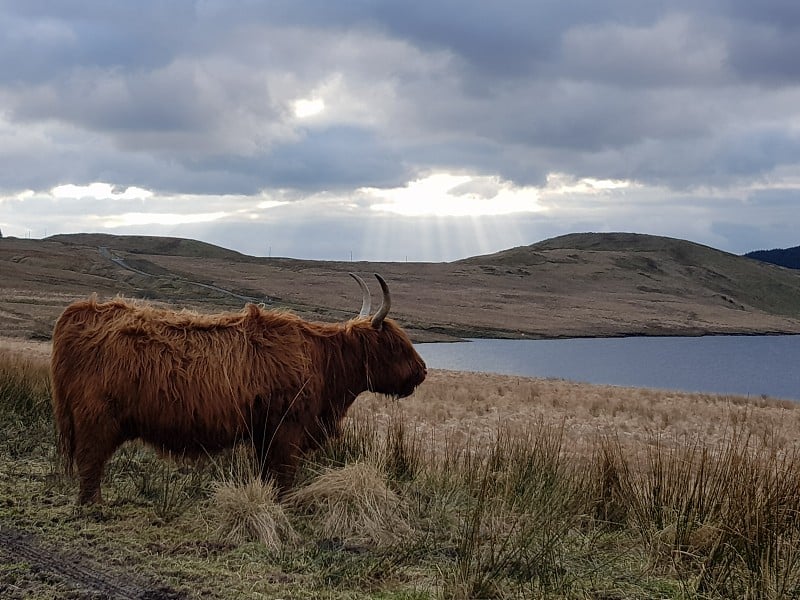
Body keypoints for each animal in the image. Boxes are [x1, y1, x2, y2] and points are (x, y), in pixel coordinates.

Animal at [51, 274, 424, 504]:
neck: (323, 361)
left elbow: (267, 473)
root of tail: (81, 311)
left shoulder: (264, 433)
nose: (421, 372)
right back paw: (94, 506)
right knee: (90, 463)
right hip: (96, 419)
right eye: (395, 344)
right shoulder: (287, 430)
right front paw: (285, 507)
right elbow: (284, 475)